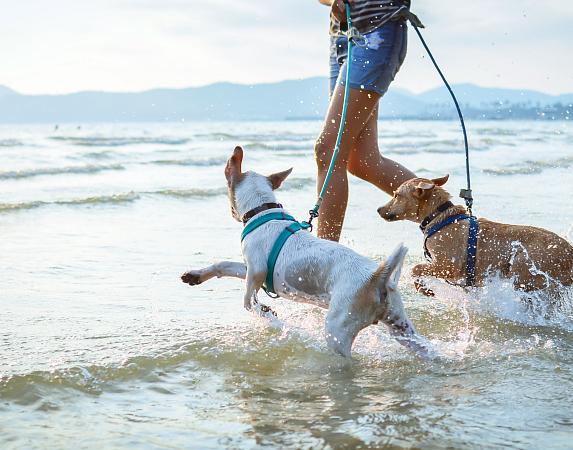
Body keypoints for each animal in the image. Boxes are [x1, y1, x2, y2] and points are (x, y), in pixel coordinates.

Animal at [181, 148, 426, 358]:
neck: (263, 211)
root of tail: (378, 278)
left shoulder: (256, 270)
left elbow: (249, 301)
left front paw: (267, 313)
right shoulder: (250, 267)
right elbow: (224, 265)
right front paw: (196, 275)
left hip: (338, 330)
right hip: (401, 328)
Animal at [376, 175, 572, 296]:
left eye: (396, 195)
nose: (378, 209)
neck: (439, 217)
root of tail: (569, 251)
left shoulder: (447, 266)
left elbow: (415, 268)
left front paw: (424, 289)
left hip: (524, 268)